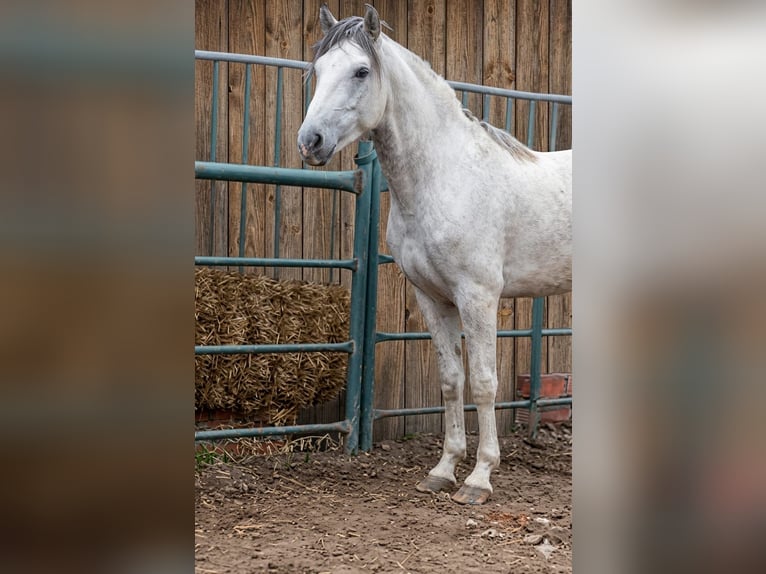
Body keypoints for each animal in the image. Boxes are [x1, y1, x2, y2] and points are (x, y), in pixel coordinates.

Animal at [298, 4, 572, 505]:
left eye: (361, 71)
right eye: (318, 70)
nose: (311, 142)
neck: (447, 176)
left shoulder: (478, 298)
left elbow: (483, 382)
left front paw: (480, 478)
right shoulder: (431, 298)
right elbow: (450, 381)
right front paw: (444, 470)